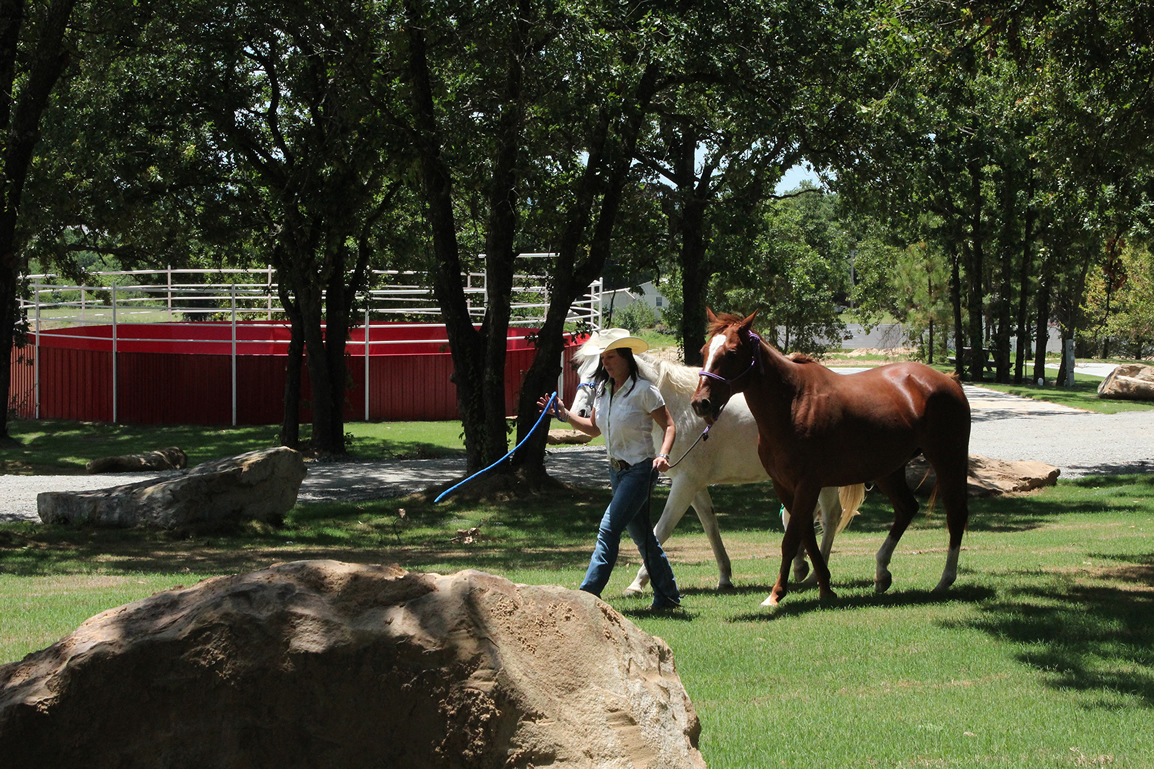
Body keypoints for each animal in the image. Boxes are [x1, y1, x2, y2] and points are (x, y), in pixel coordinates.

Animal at [570, 351, 867, 595]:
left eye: (599, 375)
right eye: (580, 372)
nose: (580, 413)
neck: (679, 409)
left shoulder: (685, 484)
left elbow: (661, 529)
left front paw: (637, 583)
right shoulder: (695, 484)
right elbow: (710, 526)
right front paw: (725, 576)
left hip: (822, 479)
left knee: (830, 516)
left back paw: (815, 574)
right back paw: (802, 566)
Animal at [692, 309, 973, 605]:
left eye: (732, 353)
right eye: (704, 350)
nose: (701, 403)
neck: (794, 402)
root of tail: (948, 380)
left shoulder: (807, 483)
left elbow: (792, 539)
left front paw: (776, 593)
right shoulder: (784, 485)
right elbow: (805, 534)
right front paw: (825, 585)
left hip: (947, 459)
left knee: (956, 515)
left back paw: (944, 580)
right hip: (888, 470)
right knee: (907, 509)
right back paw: (882, 572)